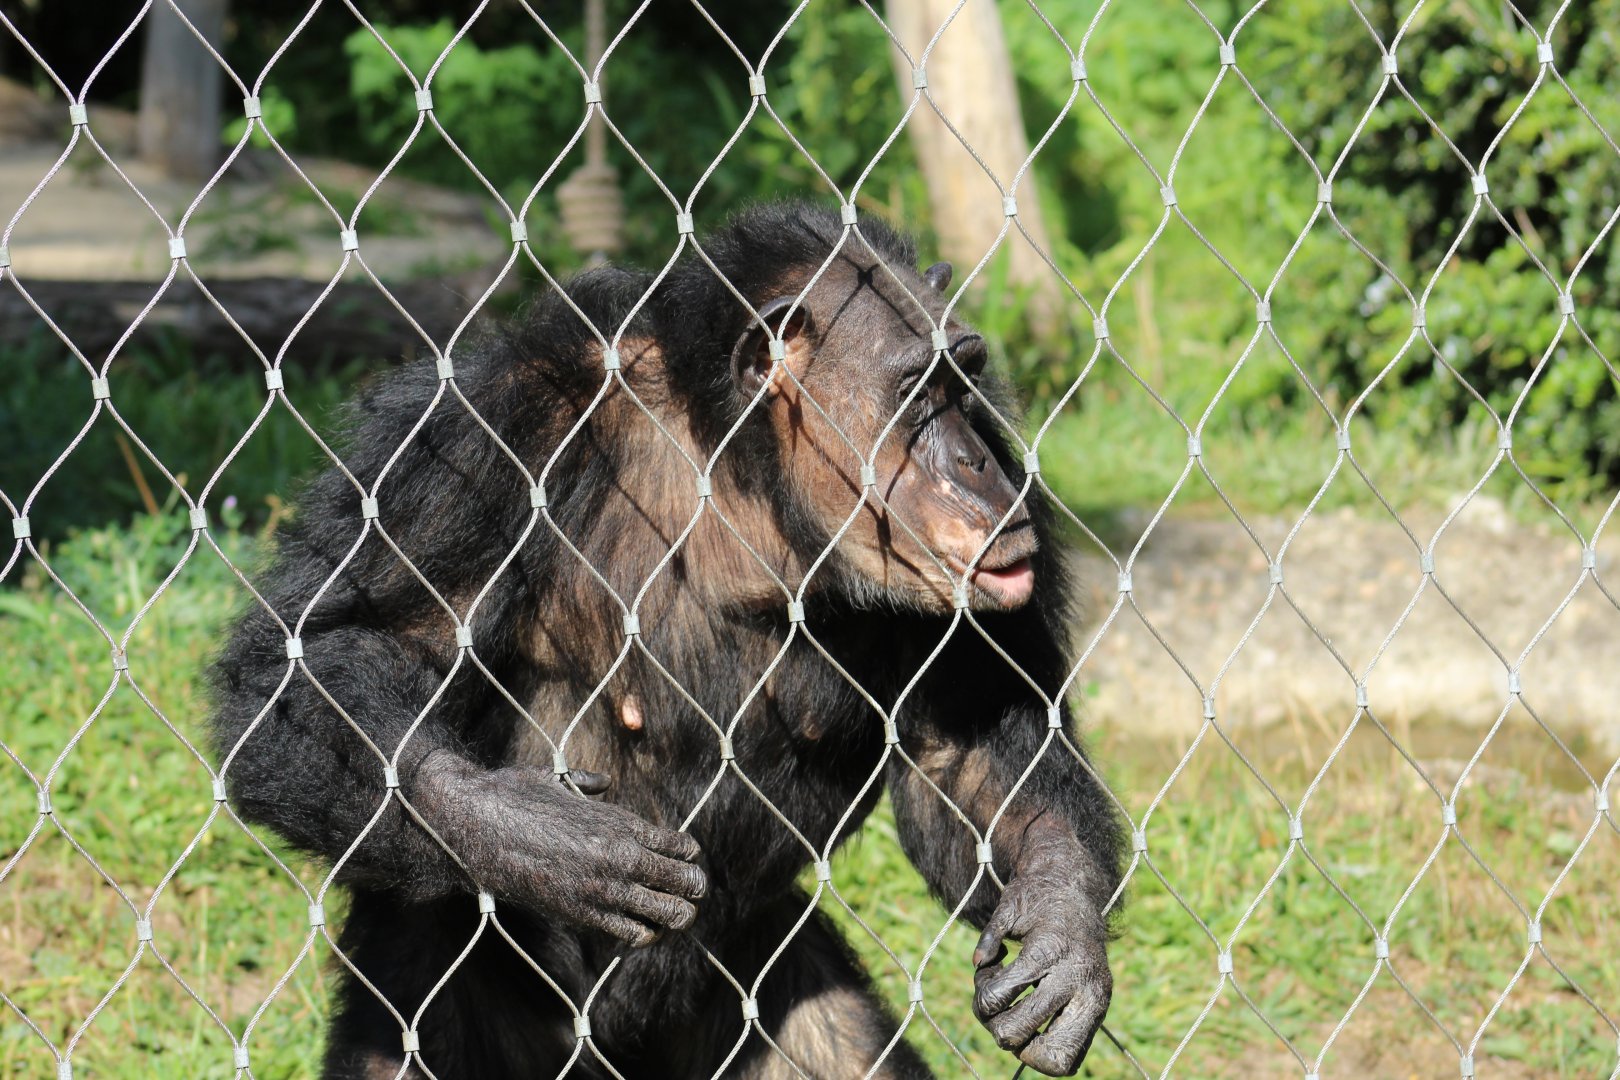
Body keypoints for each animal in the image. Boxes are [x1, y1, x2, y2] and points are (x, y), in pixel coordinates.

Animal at [212, 201, 1124, 1079]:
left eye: (963, 379)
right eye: (915, 391)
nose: (976, 466)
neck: (746, 486)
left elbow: (962, 755)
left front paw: (1060, 914)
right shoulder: (480, 437)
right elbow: (322, 653)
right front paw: (535, 837)